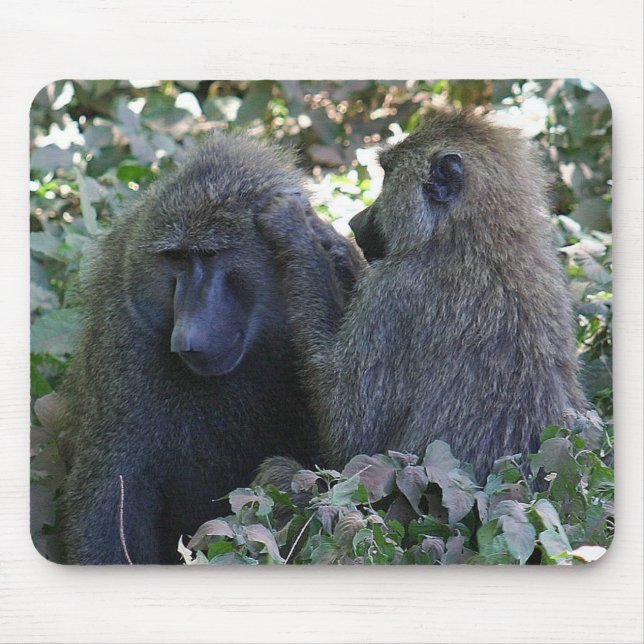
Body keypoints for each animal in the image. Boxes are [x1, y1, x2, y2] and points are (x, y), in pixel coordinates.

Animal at [255, 110, 586, 487]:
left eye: (387, 175)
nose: (354, 221)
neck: (474, 234)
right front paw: (325, 235)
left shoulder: (396, 294)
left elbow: (350, 432)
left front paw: (295, 228)